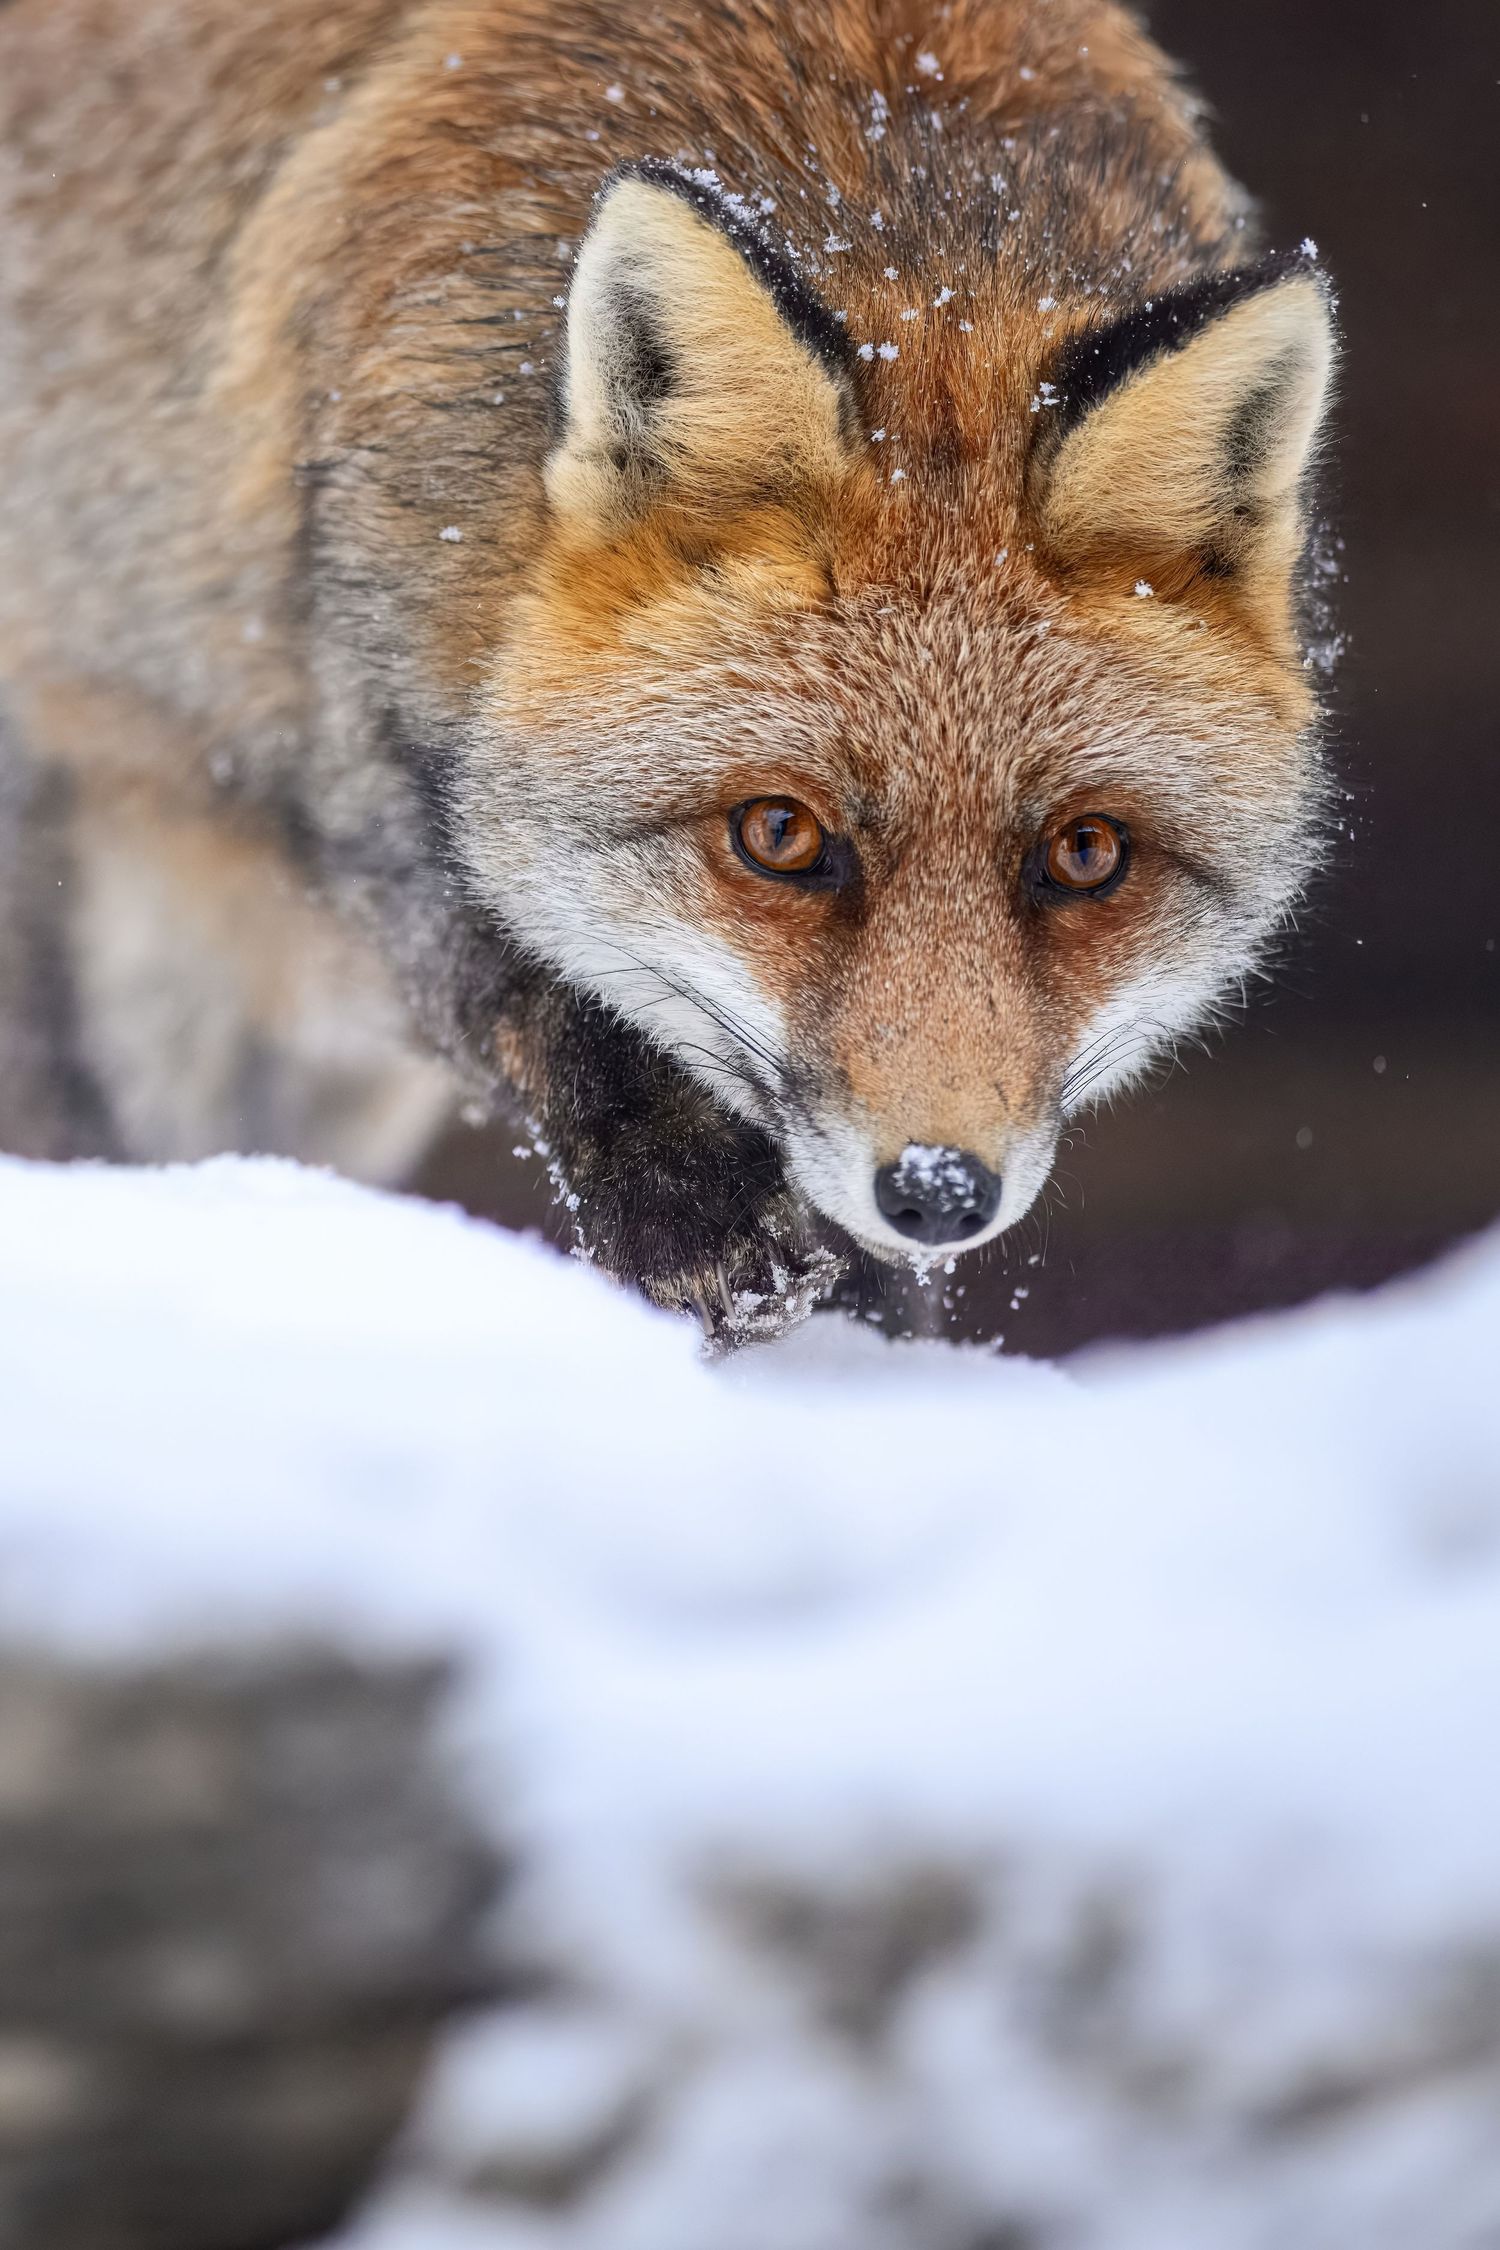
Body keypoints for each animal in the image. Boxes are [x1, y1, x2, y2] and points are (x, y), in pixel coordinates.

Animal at [0, 0, 1335, 1342]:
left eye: (1086, 854)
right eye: (779, 834)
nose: (938, 1189)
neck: (892, 153)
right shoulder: (364, 739)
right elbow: (535, 986)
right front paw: (697, 1215)